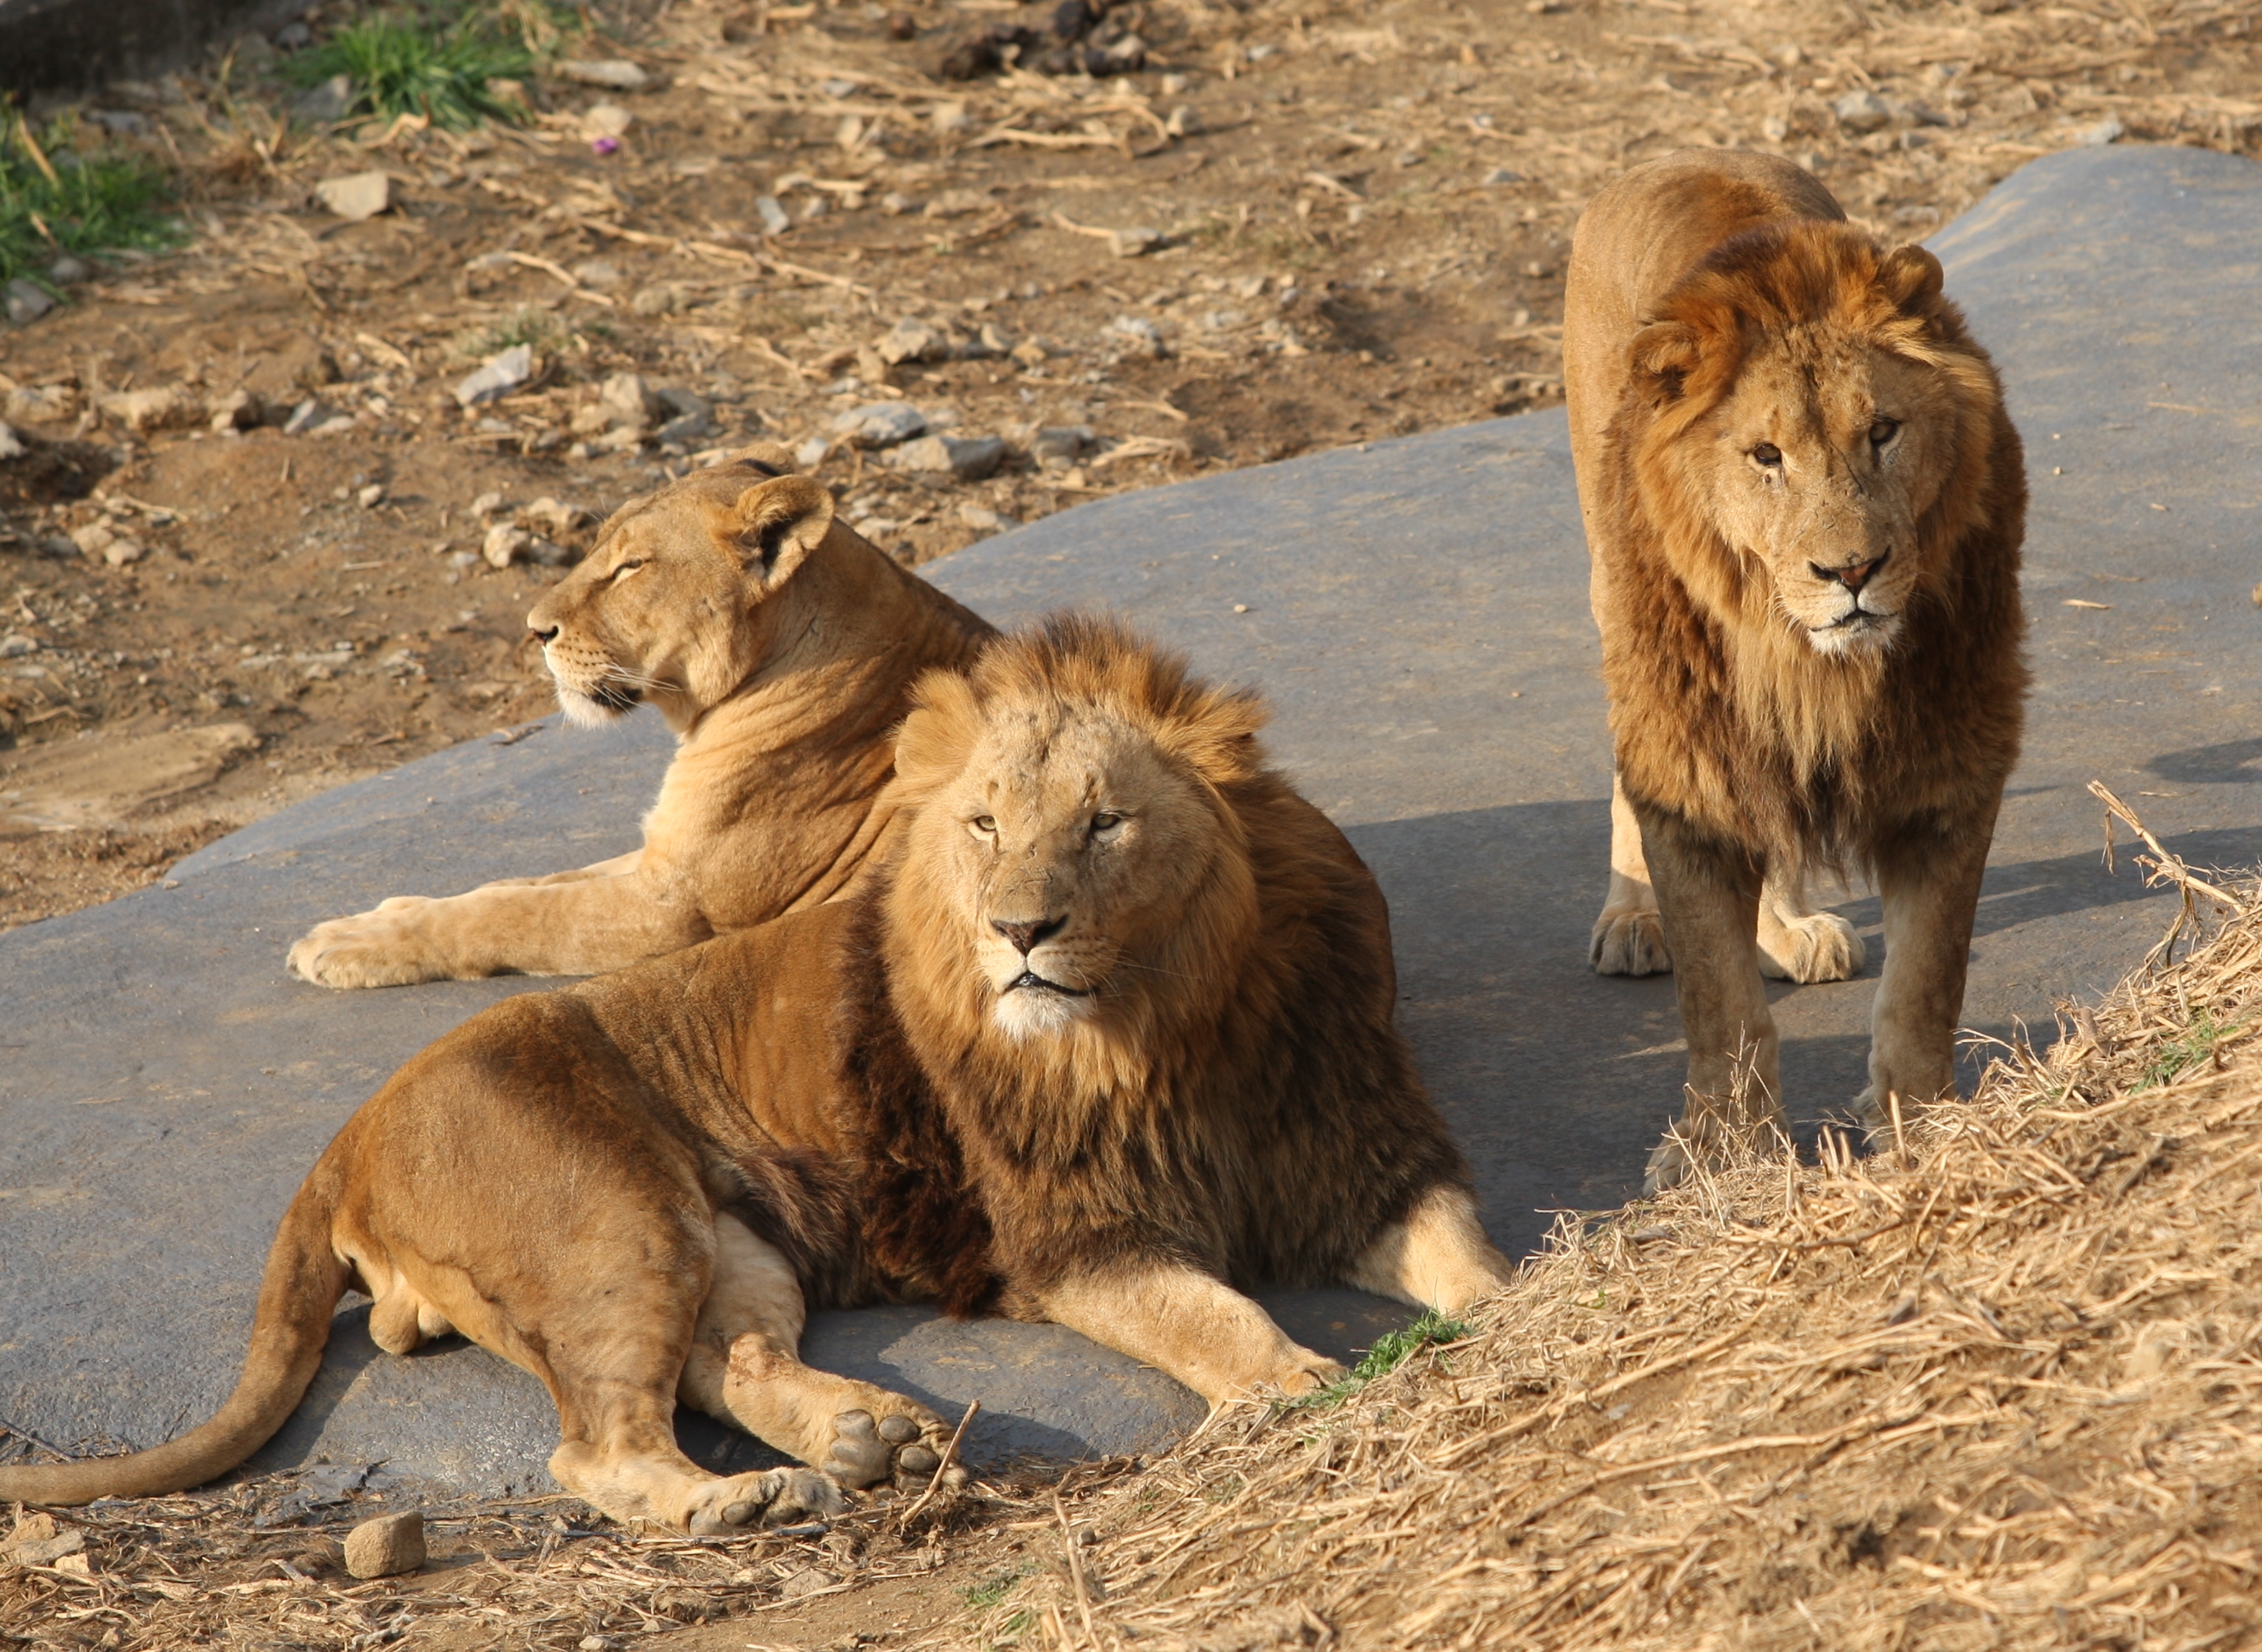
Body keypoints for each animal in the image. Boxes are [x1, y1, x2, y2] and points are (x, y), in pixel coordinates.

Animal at [8, 615, 1520, 1529]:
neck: (1170, 1024)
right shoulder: (1077, 1238)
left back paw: (868, 1438)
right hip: (609, 1217)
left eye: (1104, 823)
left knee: (727, 1357)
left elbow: (1468, 1252)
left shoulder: (1362, 1155)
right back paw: (735, 1500)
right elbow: (1218, 1320)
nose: (1017, 931)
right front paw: (1303, 1384)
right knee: (598, 1438)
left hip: (728, 1238)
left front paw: (1519, 1312)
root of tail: (350, 1132)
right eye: (982, 824)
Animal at [287, 443, 995, 986]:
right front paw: (380, 913)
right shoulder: (660, 852)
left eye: (629, 567)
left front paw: (344, 946)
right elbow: (519, 884)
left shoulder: (677, 906)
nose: (534, 629)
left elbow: (514, 915)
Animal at [1565, 151, 2026, 1186]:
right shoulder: (1690, 766)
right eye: (1766, 455)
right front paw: (1723, 1150)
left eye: (1883, 431)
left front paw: (1922, 1123)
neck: (1809, 665)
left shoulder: (1950, 762)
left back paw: (1789, 928)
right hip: (1614, 593)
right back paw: (1633, 916)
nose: (1850, 572)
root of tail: (1676, 155)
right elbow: (1717, 997)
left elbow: (1930, 974)